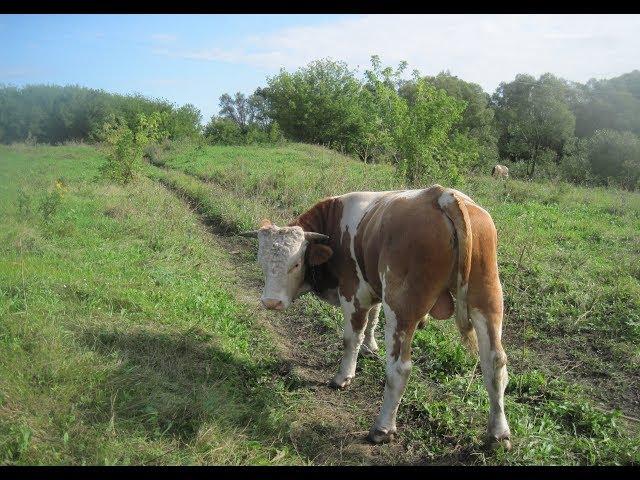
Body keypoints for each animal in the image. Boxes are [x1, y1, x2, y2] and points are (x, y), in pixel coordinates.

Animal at [239, 185, 510, 450]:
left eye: (295, 264)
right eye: (261, 261)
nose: (271, 302)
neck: (334, 223)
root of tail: (443, 196)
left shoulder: (353, 292)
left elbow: (352, 338)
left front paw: (344, 376)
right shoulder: (374, 287)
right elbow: (373, 318)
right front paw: (370, 347)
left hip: (401, 307)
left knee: (400, 368)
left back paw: (382, 428)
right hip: (488, 299)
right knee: (495, 362)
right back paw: (498, 433)